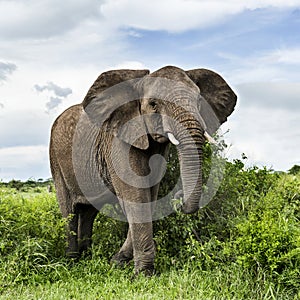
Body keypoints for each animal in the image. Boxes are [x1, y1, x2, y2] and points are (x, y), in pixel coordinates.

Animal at [49, 65, 237, 274]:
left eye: (198, 101)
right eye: (154, 104)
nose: (179, 198)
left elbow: (150, 195)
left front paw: (118, 261)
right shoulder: (118, 142)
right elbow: (136, 195)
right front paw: (144, 274)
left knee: (89, 210)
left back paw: (86, 256)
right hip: (56, 159)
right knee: (69, 211)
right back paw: (72, 260)